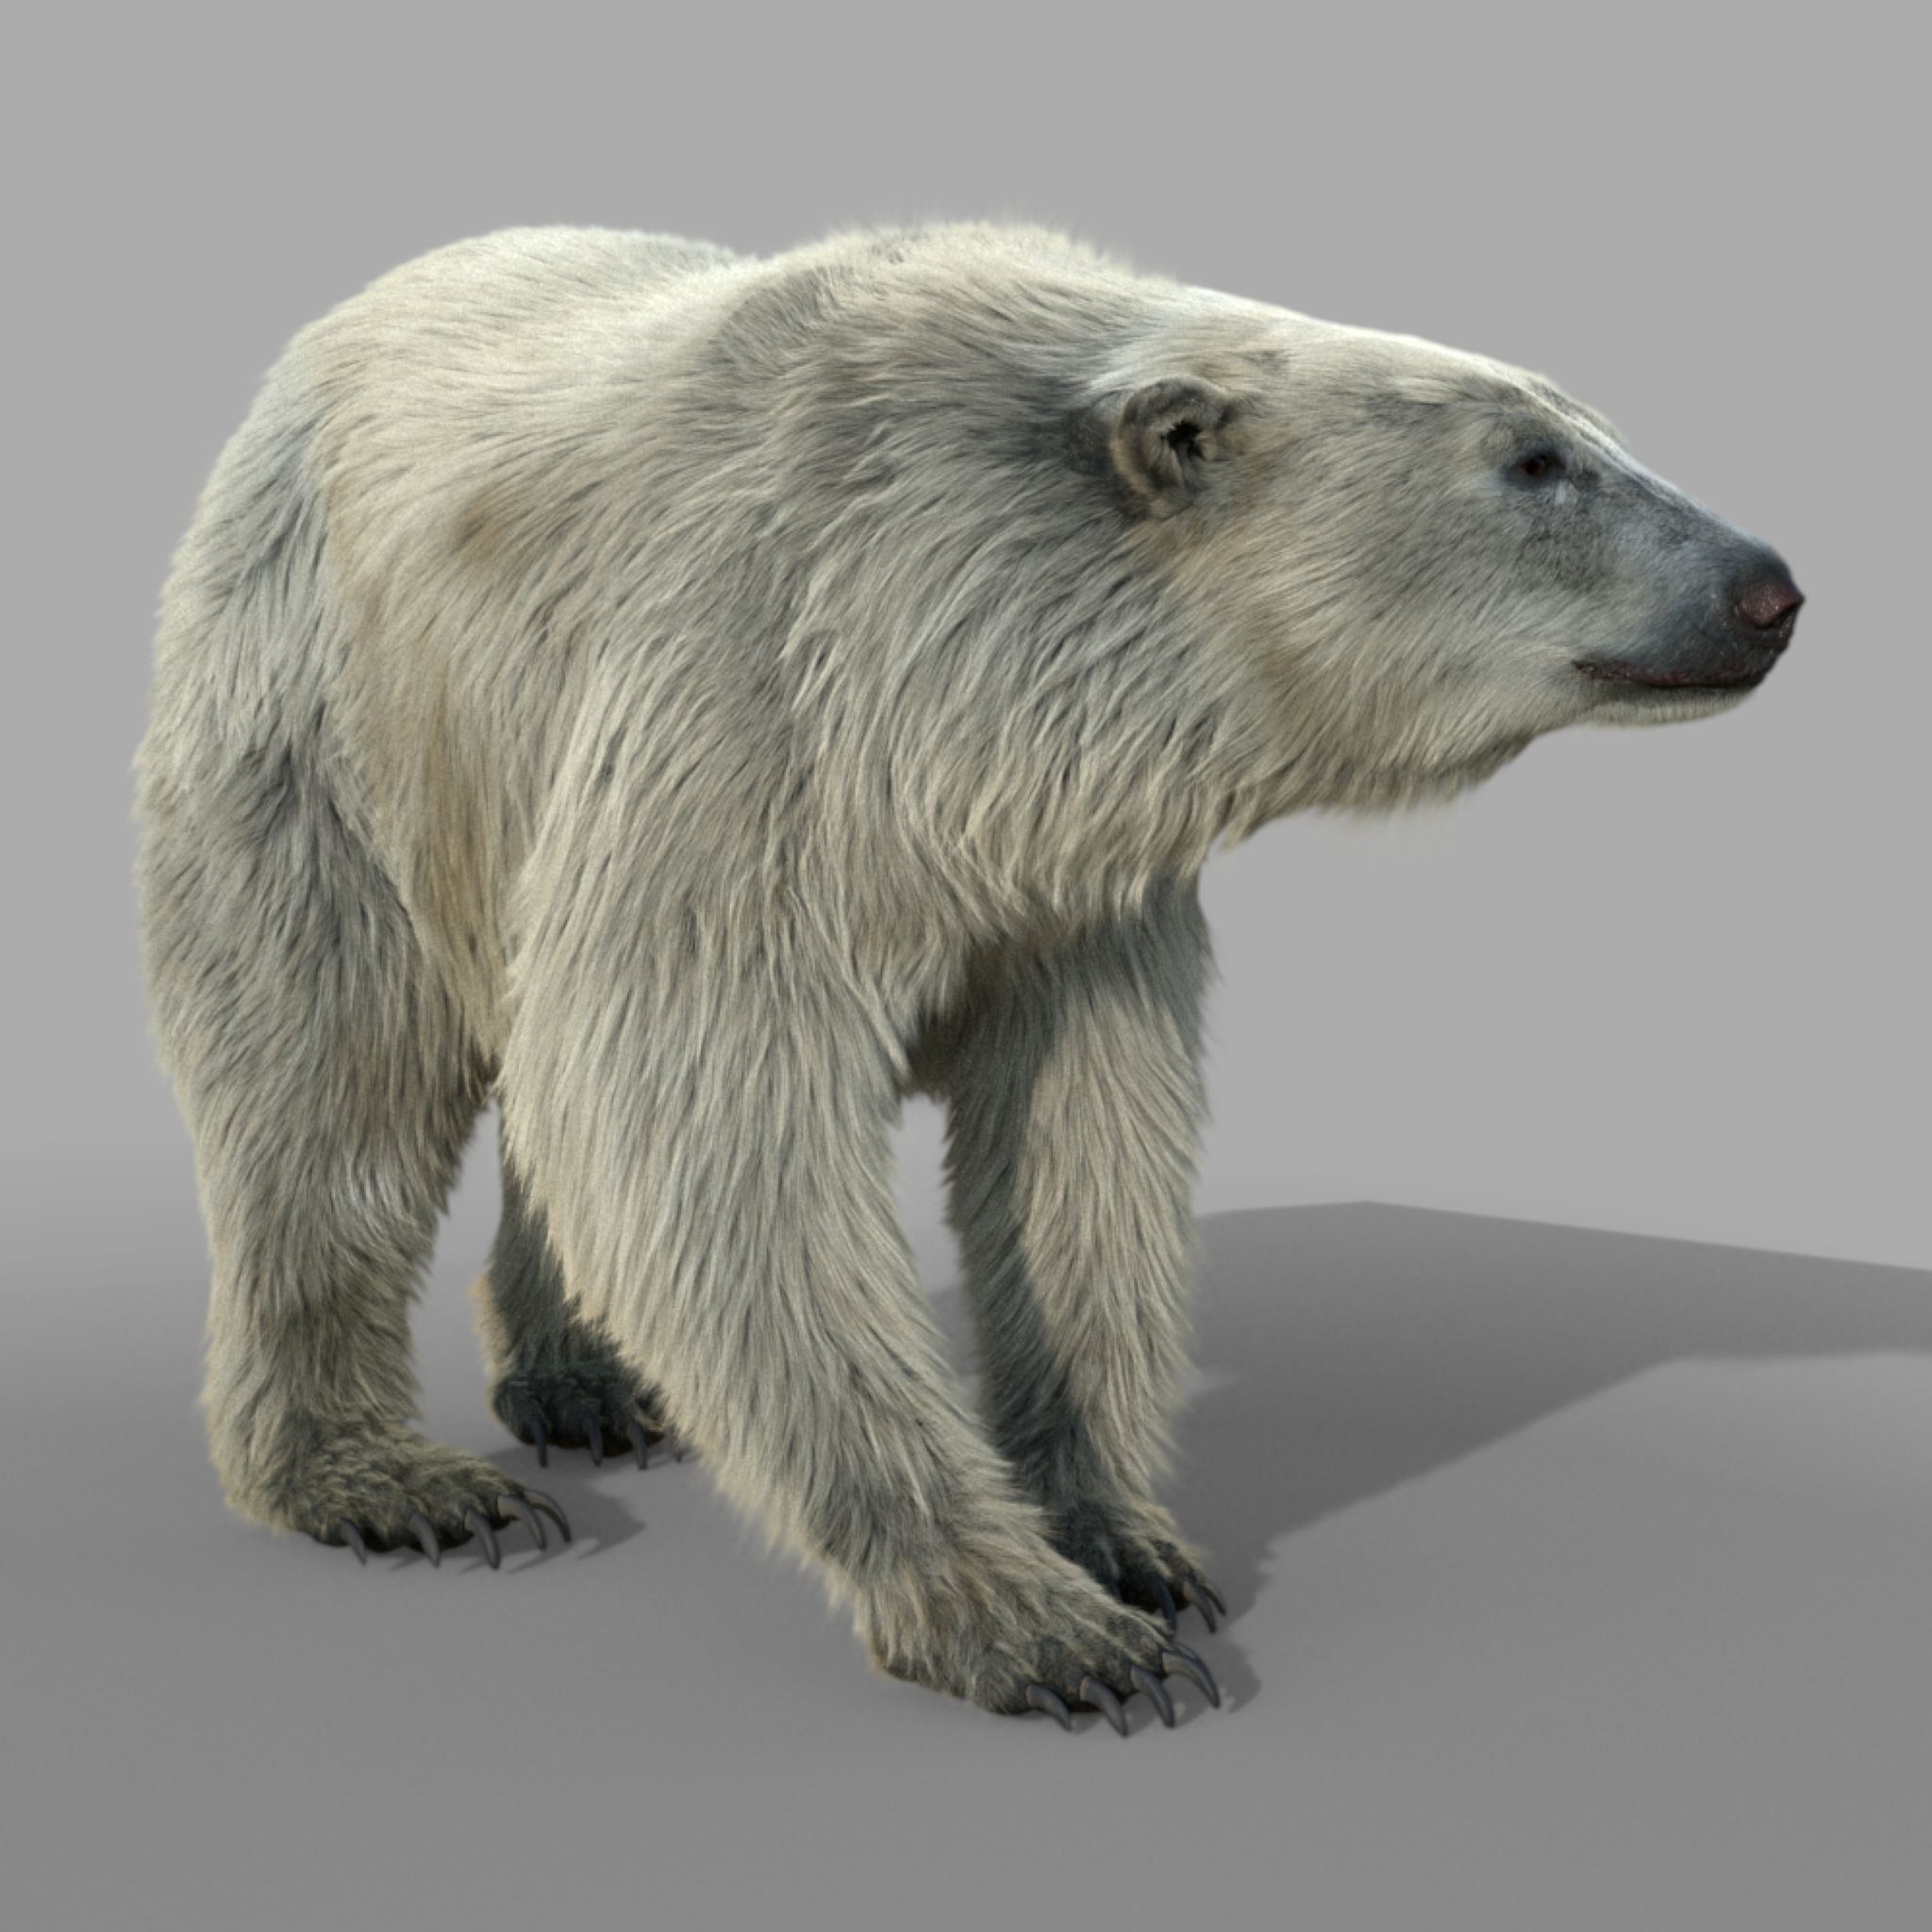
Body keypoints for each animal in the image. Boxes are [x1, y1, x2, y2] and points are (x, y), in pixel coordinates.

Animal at [134, 220, 1801, 1731]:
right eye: (1535, 462)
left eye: (1594, 425)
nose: (1771, 587)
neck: (964, 682)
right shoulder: (751, 709)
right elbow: (707, 1116)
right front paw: (1043, 1632)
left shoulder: (1072, 885)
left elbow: (1080, 1150)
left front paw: (1124, 1541)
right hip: (324, 713)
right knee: (326, 1076)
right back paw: (389, 1479)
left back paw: (589, 1382)